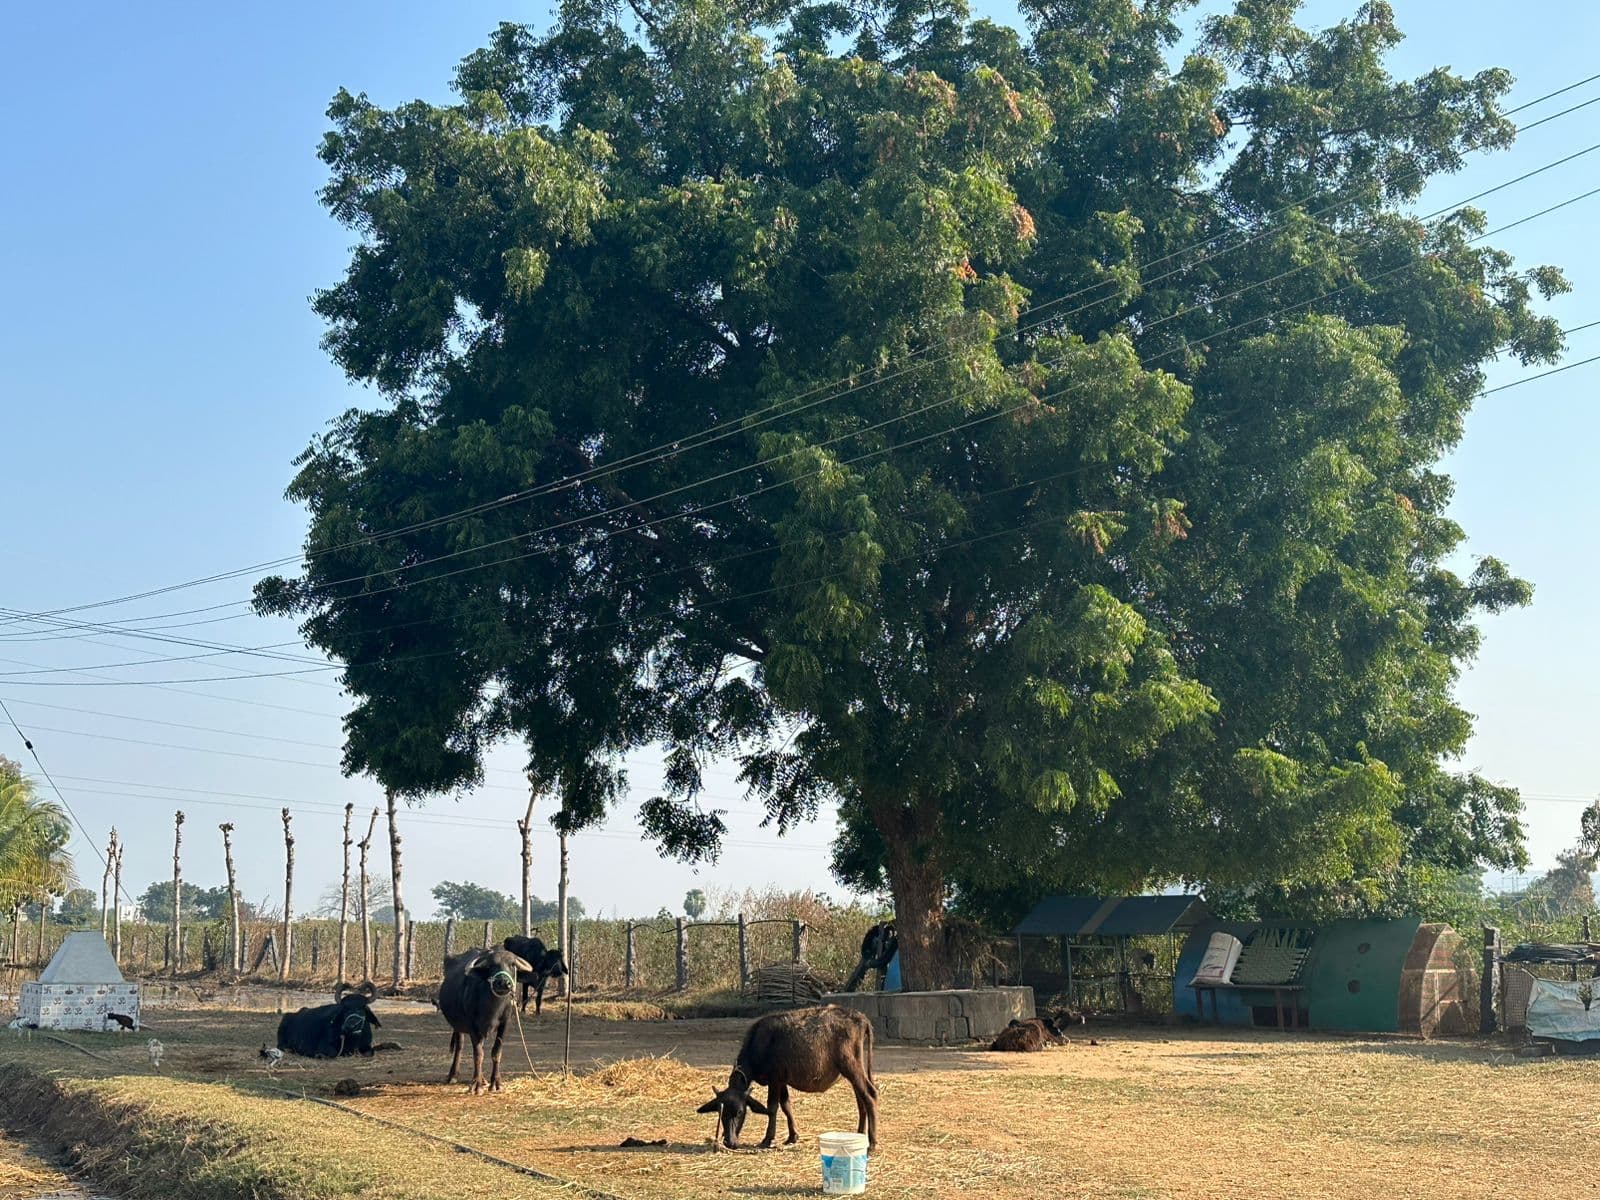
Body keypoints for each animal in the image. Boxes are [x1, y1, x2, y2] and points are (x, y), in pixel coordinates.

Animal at [437, 946, 534, 1094]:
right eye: (492, 965)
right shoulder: (472, 1025)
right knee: (460, 1046)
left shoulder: (505, 1024)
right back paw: (453, 1075)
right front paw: (476, 1086)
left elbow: (496, 1052)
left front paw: (495, 1083)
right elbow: (478, 1054)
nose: (503, 983)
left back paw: (482, 1079)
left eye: (512, 965)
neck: (493, 1007)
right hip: (458, 1026)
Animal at [696, 1005, 878, 1150]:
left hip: (851, 1067)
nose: (729, 1141)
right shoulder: (782, 1081)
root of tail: (860, 1018)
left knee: (870, 1095)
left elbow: (772, 1107)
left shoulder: (774, 1080)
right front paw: (792, 1136)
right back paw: (859, 1135)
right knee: (861, 1099)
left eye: (741, 1112)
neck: (761, 1044)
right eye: (721, 1113)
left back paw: (872, 1143)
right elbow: (786, 1106)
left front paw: (768, 1139)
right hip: (855, 1069)